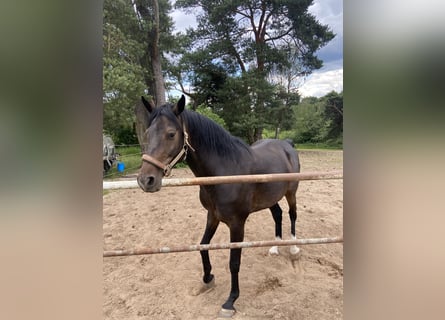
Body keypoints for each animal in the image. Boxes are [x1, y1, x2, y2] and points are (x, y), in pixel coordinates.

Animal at [137, 95, 300, 318]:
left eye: (171, 134)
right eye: (147, 133)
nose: (146, 180)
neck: (224, 171)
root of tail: (287, 144)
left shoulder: (237, 223)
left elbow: (234, 263)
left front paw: (230, 301)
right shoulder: (212, 215)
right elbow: (202, 245)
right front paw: (207, 279)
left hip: (291, 193)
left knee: (292, 214)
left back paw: (293, 247)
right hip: (271, 198)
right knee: (278, 214)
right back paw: (275, 247)